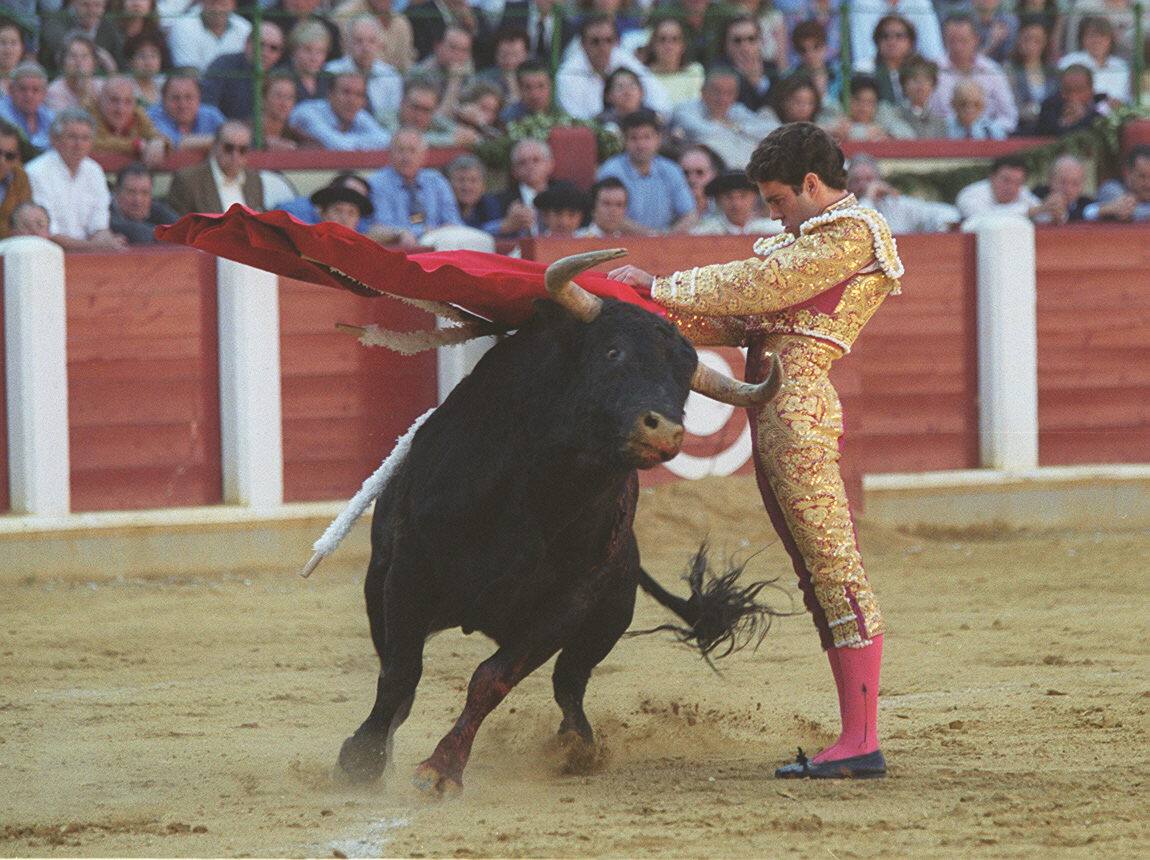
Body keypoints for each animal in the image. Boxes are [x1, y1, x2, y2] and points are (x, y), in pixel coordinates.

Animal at [333, 247, 782, 791]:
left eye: (685, 383)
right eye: (612, 352)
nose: (665, 432)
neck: (537, 485)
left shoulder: (568, 602)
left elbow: (491, 678)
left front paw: (441, 769)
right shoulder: (407, 569)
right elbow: (400, 672)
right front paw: (361, 759)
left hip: (608, 618)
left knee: (570, 682)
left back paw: (578, 747)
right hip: (383, 581)